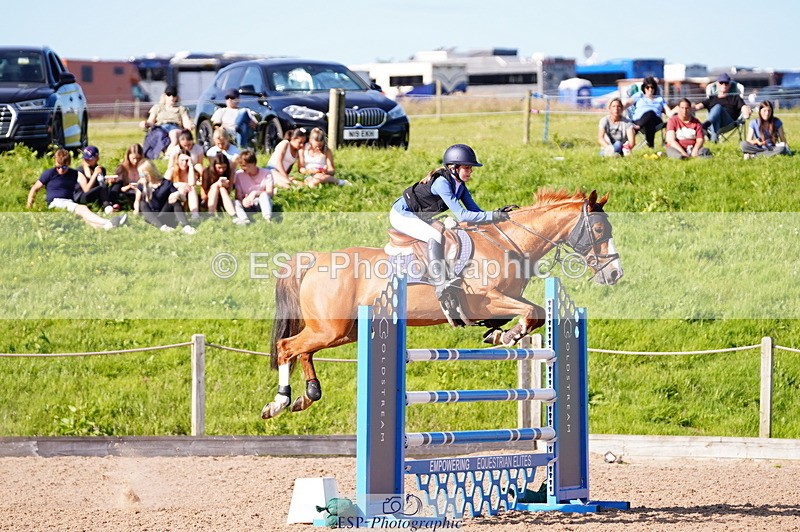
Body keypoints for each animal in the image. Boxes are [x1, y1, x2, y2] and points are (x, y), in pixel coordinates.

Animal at [261, 189, 623, 419]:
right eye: (598, 228)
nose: (615, 273)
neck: (508, 242)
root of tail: (316, 259)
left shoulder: (506, 299)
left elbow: (529, 314)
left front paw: (498, 334)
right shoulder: (486, 300)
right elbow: (531, 313)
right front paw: (508, 335)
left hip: (342, 331)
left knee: (303, 351)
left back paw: (307, 396)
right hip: (331, 328)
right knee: (286, 347)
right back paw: (278, 403)